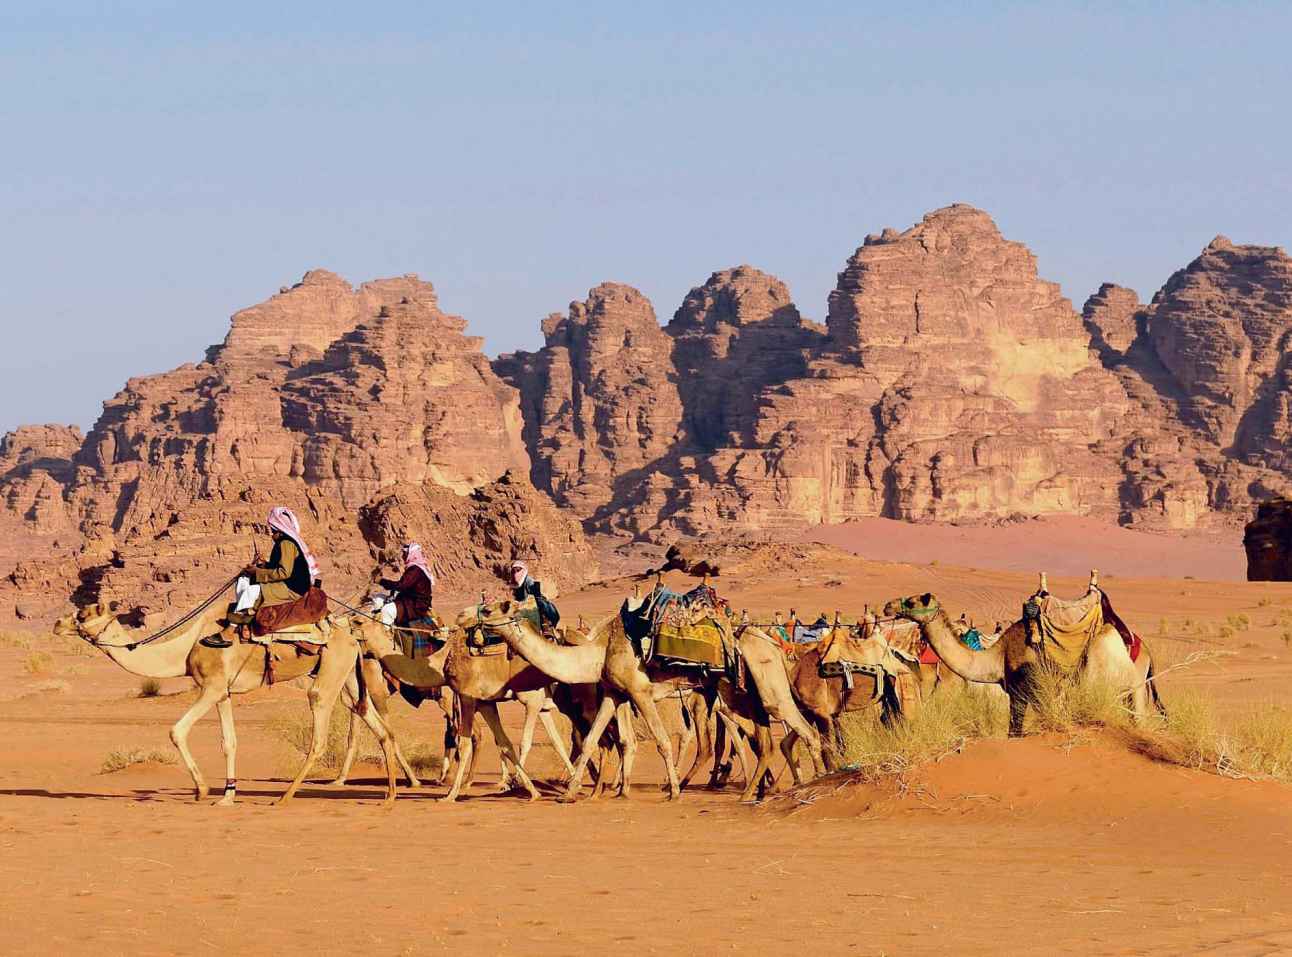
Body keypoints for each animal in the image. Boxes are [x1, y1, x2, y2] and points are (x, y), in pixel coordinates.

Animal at [54, 601, 397, 800]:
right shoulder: (224, 693)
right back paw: (391, 795)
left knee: (320, 728)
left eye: (82, 614)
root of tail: (350, 632)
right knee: (375, 722)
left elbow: (176, 731)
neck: (185, 649)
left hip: (330, 672)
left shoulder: (212, 688)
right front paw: (227, 795)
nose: (57, 623)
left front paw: (202, 789)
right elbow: (229, 742)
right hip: (348, 675)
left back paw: (285, 796)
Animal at [470, 601, 821, 800]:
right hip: (740, 695)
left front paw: (674, 791)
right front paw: (571, 792)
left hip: (765, 689)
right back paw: (751, 792)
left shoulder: (640, 692)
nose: (473, 625)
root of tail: (775, 645)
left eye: (491, 610)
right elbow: (593, 739)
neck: (598, 651)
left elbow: (662, 741)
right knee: (764, 741)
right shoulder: (614, 692)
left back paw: (811, 784)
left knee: (804, 731)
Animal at [888, 570, 1152, 733]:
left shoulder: (1030, 690)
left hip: (1117, 678)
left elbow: (1017, 731)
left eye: (912, 601)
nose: (888, 606)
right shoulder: (1021, 694)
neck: (998, 655)